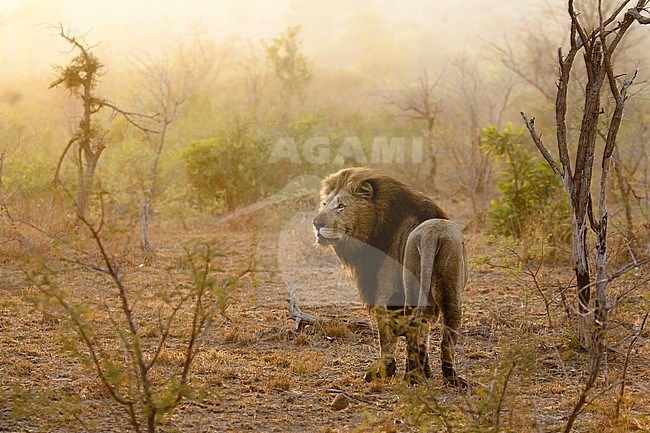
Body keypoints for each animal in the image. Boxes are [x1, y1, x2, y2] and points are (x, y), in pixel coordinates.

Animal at [310, 166, 466, 384]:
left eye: (341, 206)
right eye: (325, 204)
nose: (316, 223)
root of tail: (431, 234)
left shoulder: (384, 292)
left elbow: (386, 337)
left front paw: (384, 371)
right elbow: (423, 334)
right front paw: (426, 371)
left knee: (412, 329)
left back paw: (412, 377)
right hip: (451, 289)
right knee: (446, 333)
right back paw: (449, 377)